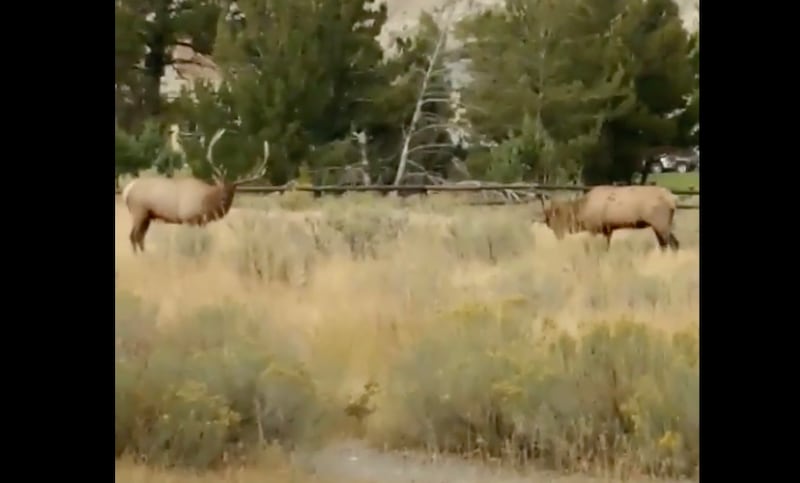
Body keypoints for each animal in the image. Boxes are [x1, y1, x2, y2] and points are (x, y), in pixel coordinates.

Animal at [121, 129, 269, 253]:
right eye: (220, 186)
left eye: (233, 190)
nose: (224, 199)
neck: (206, 202)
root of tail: (127, 189)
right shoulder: (188, 218)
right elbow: (195, 243)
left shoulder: (201, 222)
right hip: (138, 211)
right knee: (133, 236)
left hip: (147, 216)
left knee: (140, 237)